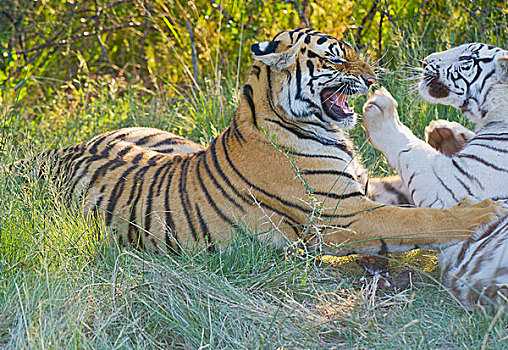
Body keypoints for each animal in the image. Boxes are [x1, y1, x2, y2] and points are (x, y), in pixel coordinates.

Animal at [362, 43, 508, 308]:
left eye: (465, 58)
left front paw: (381, 108)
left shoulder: (453, 186)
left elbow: (411, 148)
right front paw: (444, 131)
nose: (424, 61)